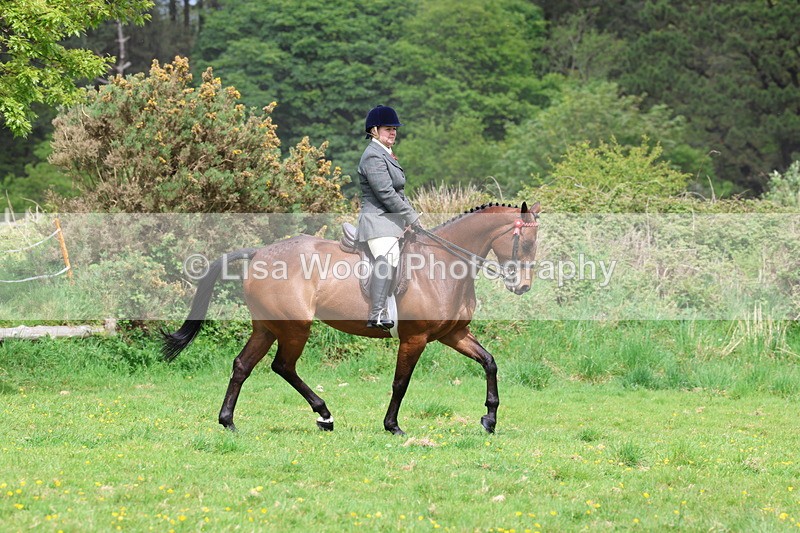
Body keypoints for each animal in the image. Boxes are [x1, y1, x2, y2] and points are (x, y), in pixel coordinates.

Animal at [162, 201, 541, 435]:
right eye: (525, 244)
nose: (522, 286)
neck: (443, 264)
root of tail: (259, 253)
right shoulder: (415, 338)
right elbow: (401, 382)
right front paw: (392, 426)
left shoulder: (454, 334)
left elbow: (489, 362)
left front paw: (489, 419)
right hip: (295, 327)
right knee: (283, 366)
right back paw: (324, 415)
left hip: (267, 327)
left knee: (243, 365)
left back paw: (228, 421)